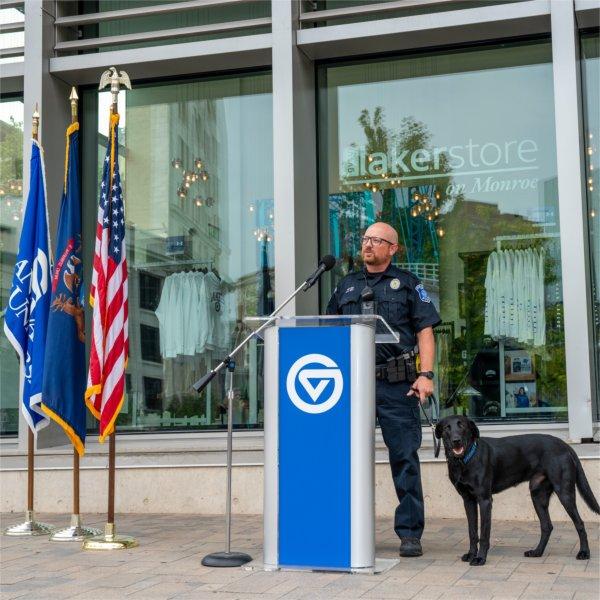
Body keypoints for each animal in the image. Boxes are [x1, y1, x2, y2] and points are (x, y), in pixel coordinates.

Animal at [436, 414, 600, 564]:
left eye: (462, 426)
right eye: (446, 428)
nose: (456, 440)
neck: (464, 461)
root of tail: (565, 445)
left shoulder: (485, 501)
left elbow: (483, 533)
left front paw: (480, 558)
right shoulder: (468, 501)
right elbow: (472, 532)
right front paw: (471, 554)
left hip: (565, 493)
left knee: (579, 523)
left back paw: (584, 553)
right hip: (537, 495)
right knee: (547, 526)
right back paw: (537, 552)